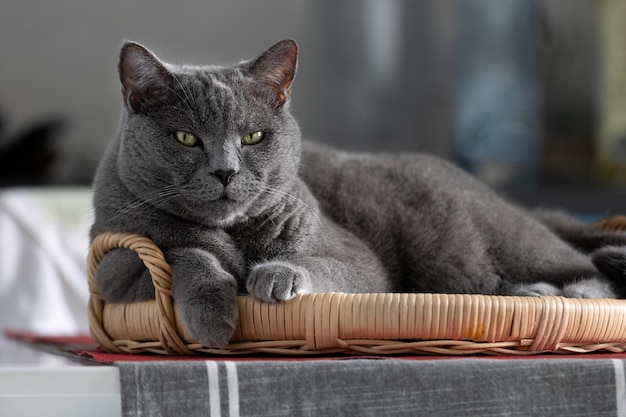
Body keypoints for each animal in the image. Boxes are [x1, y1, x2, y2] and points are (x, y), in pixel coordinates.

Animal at [90, 39, 624, 346]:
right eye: (185, 138)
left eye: (253, 137)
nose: (226, 171)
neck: (235, 237)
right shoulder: (115, 269)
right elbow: (182, 253)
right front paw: (213, 318)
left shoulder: (359, 263)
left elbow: (319, 264)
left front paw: (274, 277)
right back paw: (535, 292)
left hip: (502, 244)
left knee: (593, 274)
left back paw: (554, 291)